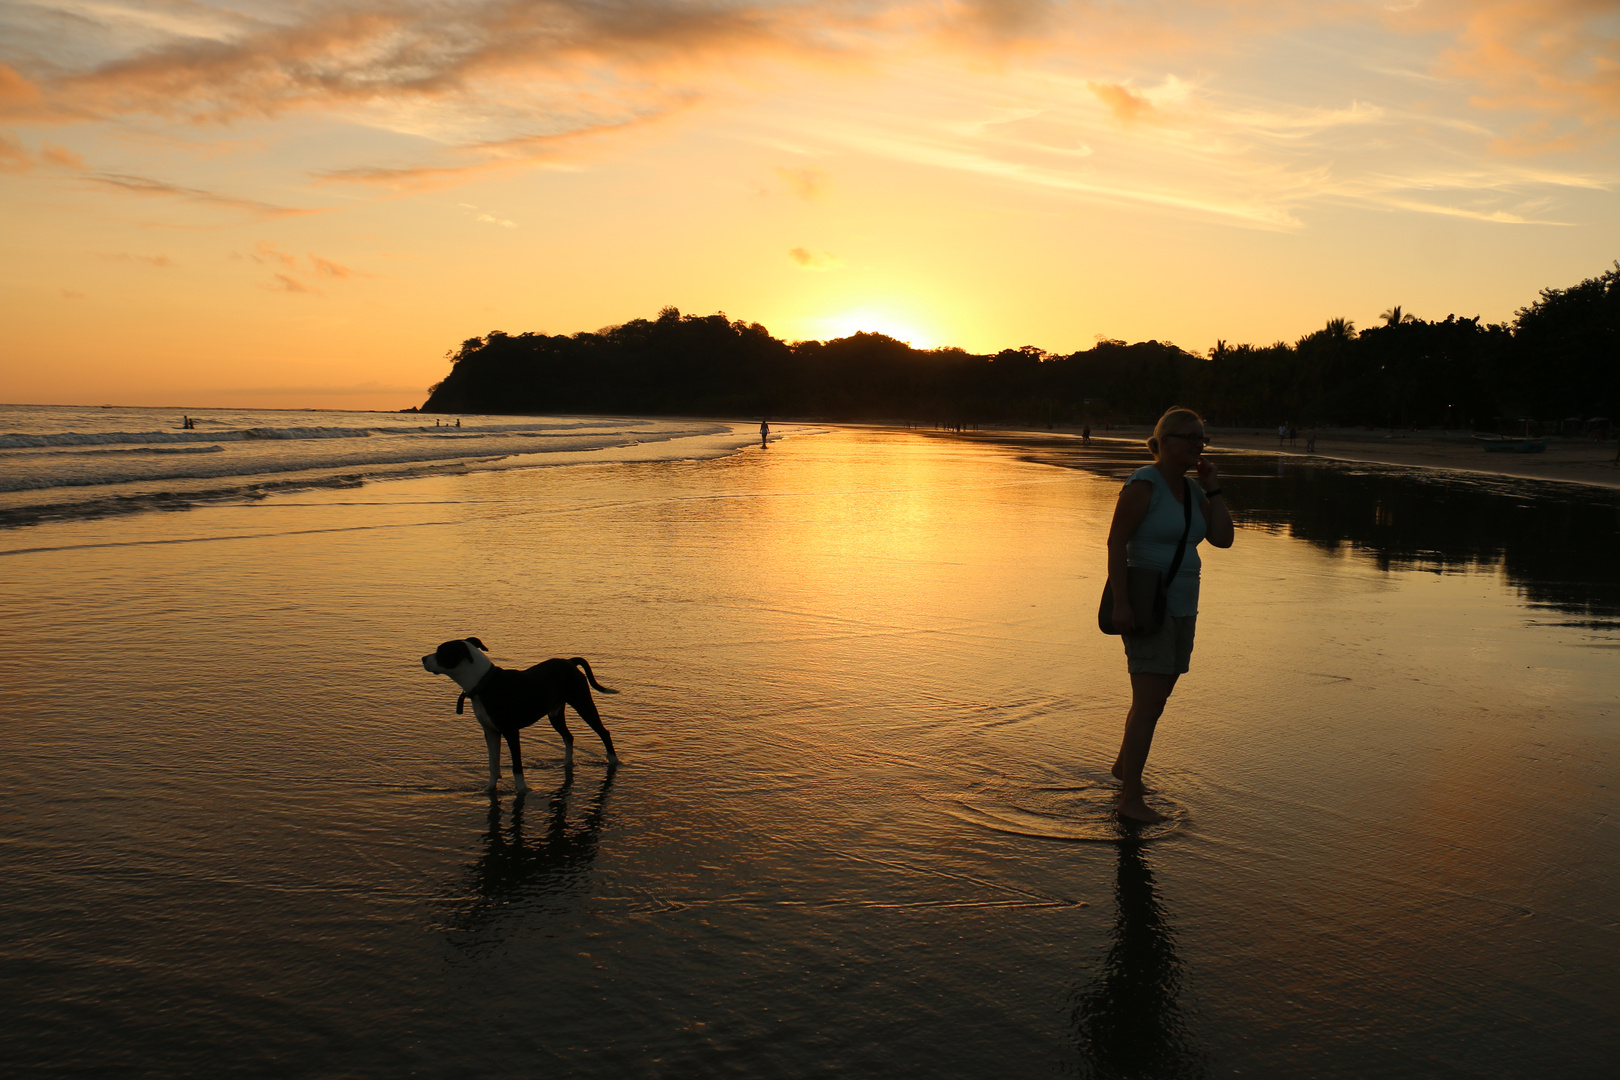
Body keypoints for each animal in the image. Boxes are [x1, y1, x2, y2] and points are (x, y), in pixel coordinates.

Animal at [417, 634, 618, 793]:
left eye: (441, 652)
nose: (423, 658)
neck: (484, 684)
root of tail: (570, 661)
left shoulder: (511, 732)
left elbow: (516, 766)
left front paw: (522, 790)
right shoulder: (490, 732)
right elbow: (493, 764)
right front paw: (489, 789)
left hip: (583, 704)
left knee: (603, 732)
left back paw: (614, 761)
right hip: (555, 713)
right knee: (568, 736)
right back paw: (567, 763)